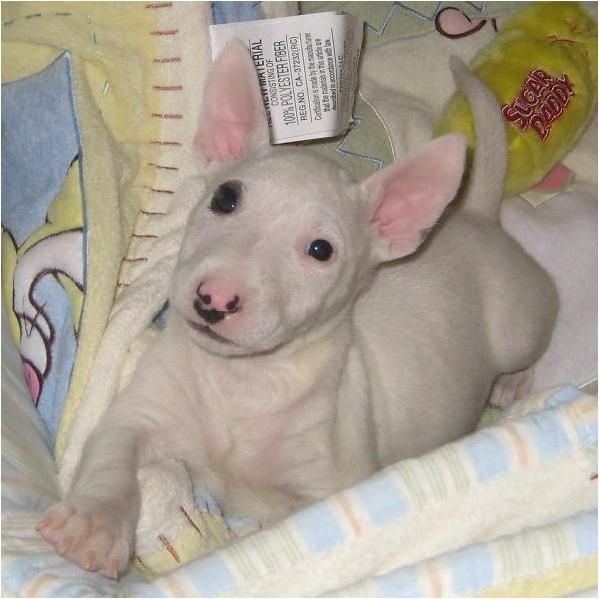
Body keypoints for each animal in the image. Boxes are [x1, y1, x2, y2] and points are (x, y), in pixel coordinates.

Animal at [35, 42, 556, 576]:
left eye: (321, 250)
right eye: (225, 198)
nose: (214, 299)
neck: (241, 383)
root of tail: (474, 214)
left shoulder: (333, 484)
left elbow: (286, 533)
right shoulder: (141, 412)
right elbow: (111, 454)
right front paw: (92, 525)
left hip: (519, 319)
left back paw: (512, 382)